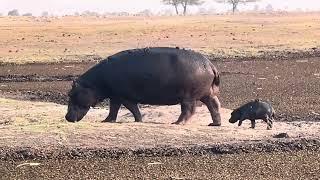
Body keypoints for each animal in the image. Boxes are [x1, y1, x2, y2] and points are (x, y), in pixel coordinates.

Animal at [64, 47, 220, 126]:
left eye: (71, 94)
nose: (66, 117)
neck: (93, 84)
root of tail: (210, 65)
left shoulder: (123, 96)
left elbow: (132, 108)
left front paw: (138, 120)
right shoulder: (115, 96)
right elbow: (114, 109)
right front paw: (107, 121)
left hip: (188, 97)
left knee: (188, 110)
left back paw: (176, 123)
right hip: (207, 93)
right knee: (214, 105)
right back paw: (214, 124)